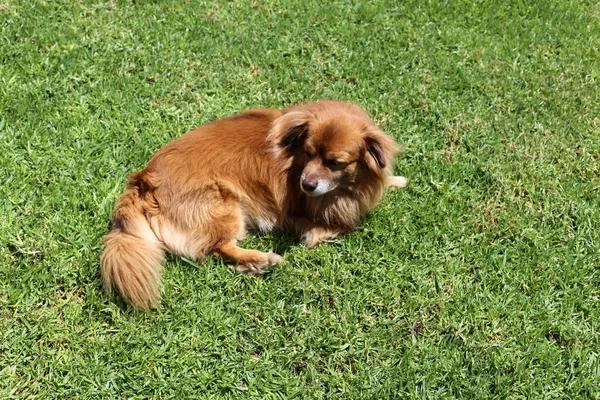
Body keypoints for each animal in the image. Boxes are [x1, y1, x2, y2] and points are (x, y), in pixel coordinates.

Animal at [99, 101, 408, 308]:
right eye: (308, 154)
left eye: (335, 163)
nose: (306, 185)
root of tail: (143, 181)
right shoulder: (311, 213)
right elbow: (342, 226)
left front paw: (396, 180)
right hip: (226, 205)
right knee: (218, 249)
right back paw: (262, 260)